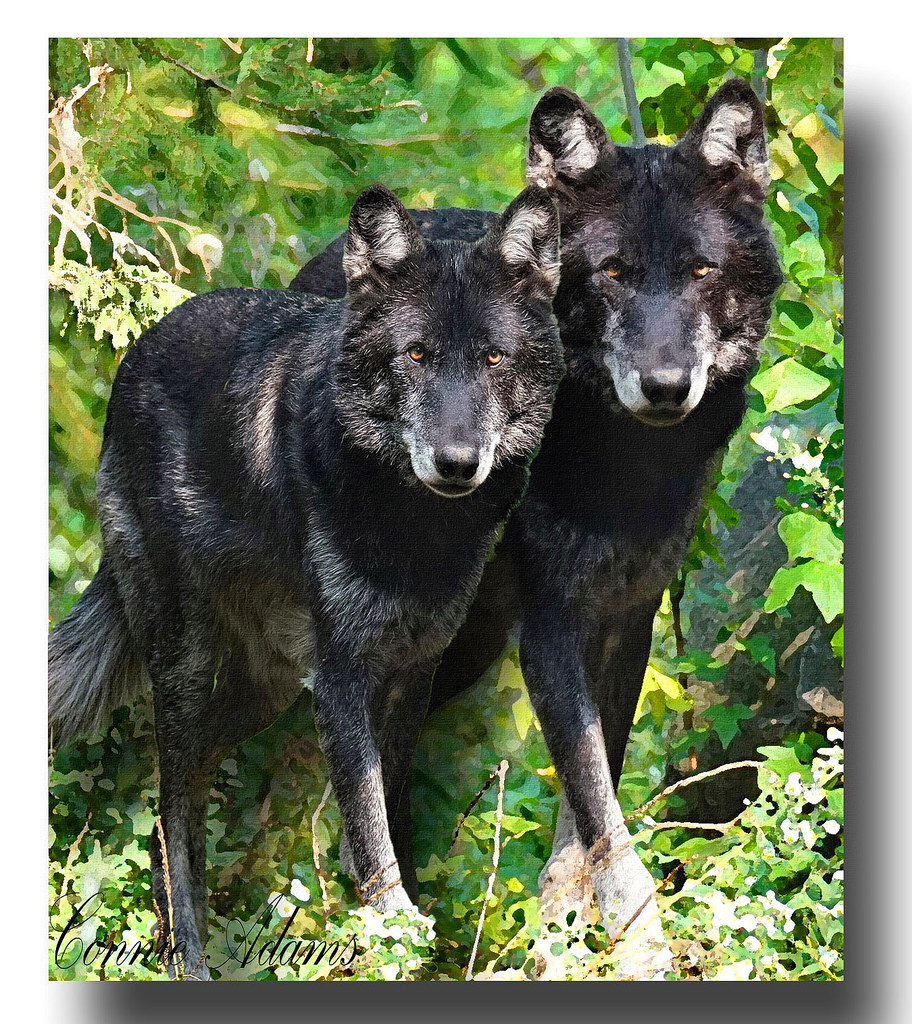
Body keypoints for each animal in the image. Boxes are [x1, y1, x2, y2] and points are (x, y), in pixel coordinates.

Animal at [48, 183, 564, 978]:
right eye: (416, 354)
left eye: (493, 357)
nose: (457, 463)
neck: (417, 531)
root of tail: (137, 351)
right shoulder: (343, 675)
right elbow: (370, 823)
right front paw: (390, 931)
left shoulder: (414, 667)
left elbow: (392, 807)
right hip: (189, 661)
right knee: (173, 804)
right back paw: (186, 955)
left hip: (268, 686)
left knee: (180, 794)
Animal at [291, 78, 782, 970]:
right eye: (614, 271)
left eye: (701, 270)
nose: (667, 387)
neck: (622, 467)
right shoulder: (550, 626)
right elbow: (599, 809)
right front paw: (642, 946)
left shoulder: (626, 621)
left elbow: (584, 811)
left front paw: (565, 935)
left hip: (460, 646)